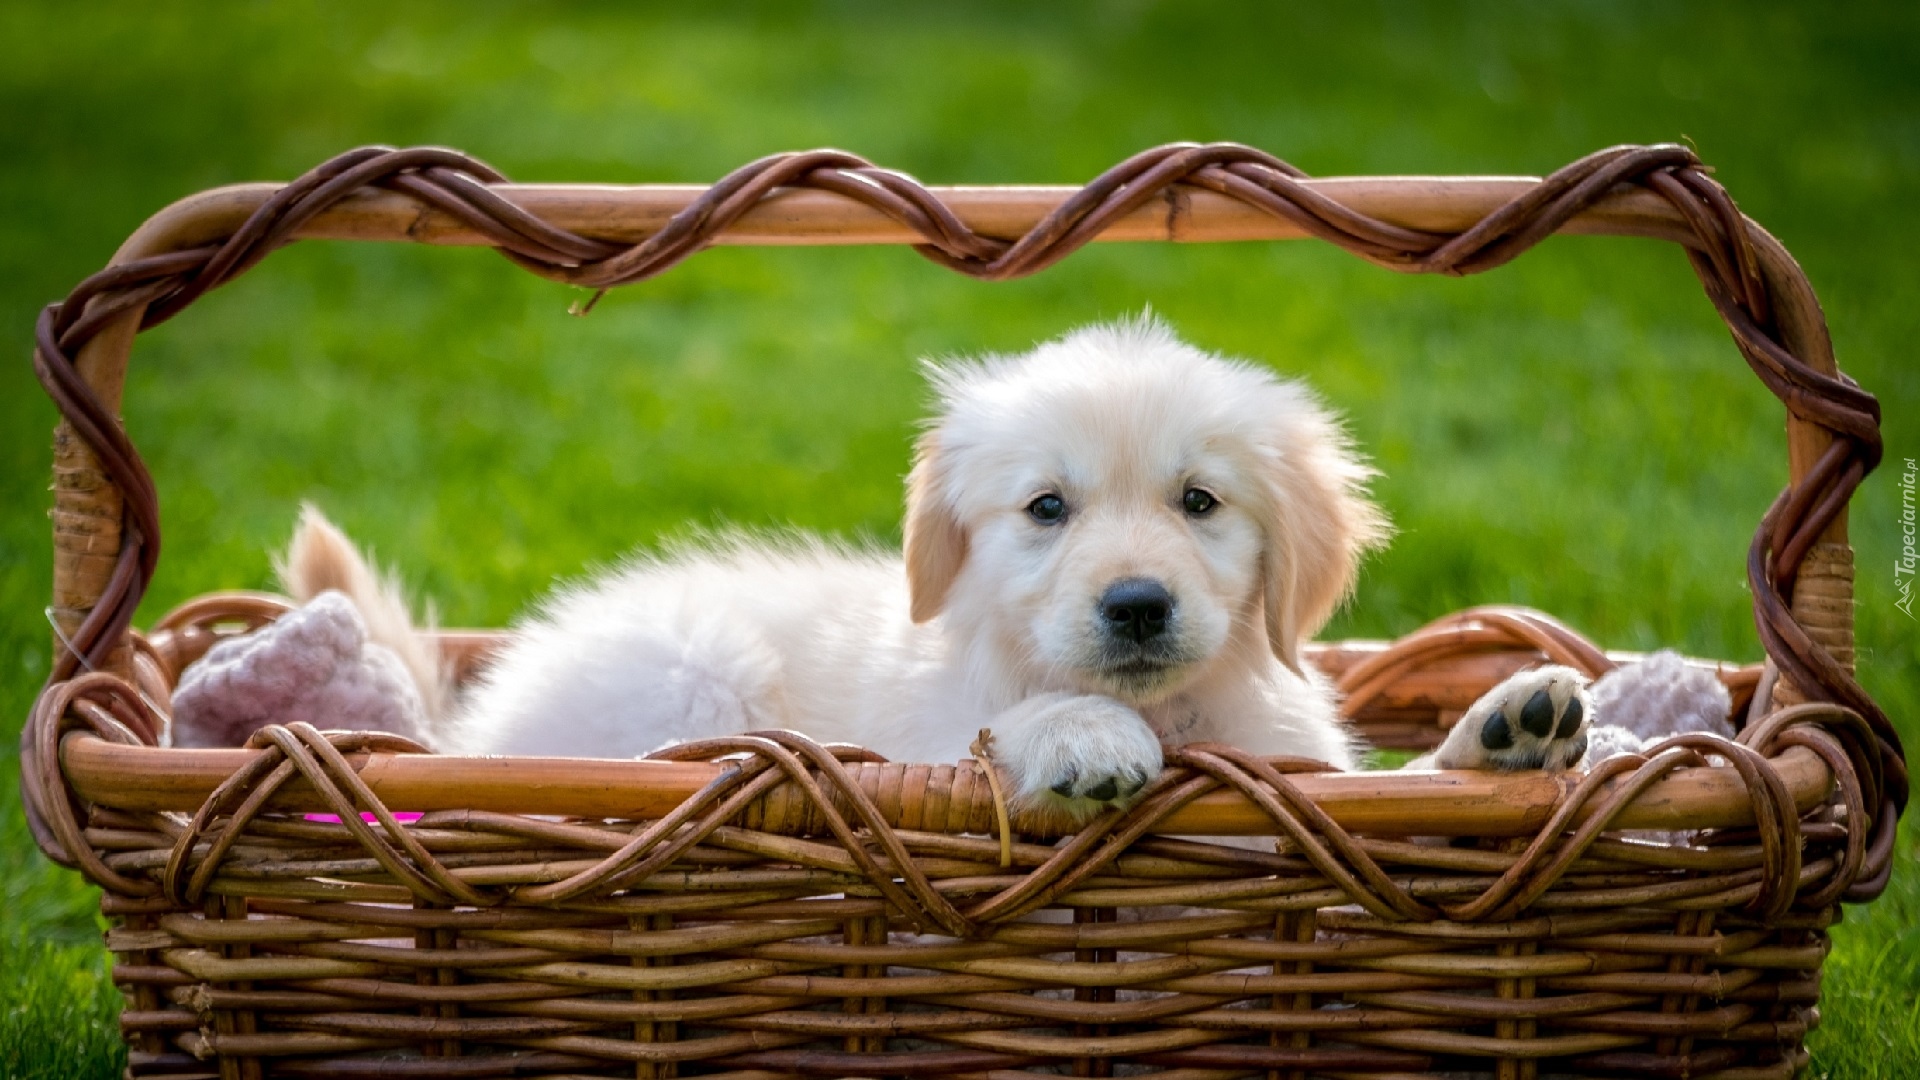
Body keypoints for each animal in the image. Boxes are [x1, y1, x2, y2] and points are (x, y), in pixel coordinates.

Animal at [288, 315, 1589, 810]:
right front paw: (1080, 735)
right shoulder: (930, 726)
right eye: (1047, 508)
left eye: (1200, 503)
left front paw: (1506, 729)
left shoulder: (1293, 759)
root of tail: (475, 729)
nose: (1136, 605)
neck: (1176, 712)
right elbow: (1005, 724)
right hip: (688, 673)